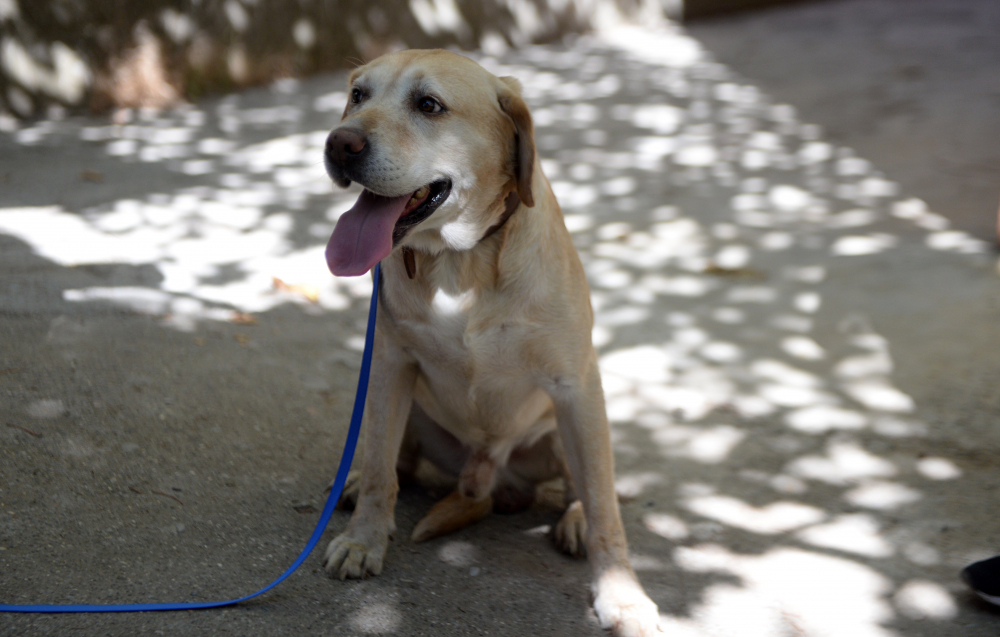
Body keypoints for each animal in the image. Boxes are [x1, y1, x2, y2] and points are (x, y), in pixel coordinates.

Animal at [324, 49, 660, 636]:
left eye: (429, 105)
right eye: (357, 95)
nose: (340, 144)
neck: (462, 262)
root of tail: (486, 482)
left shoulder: (576, 386)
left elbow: (604, 506)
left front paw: (622, 595)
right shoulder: (389, 365)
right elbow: (382, 474)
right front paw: (364, 540)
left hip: (568, 426)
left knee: (586, 487)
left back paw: (573, 519)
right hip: (408, 407)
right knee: (394, 462)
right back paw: (358, 479)